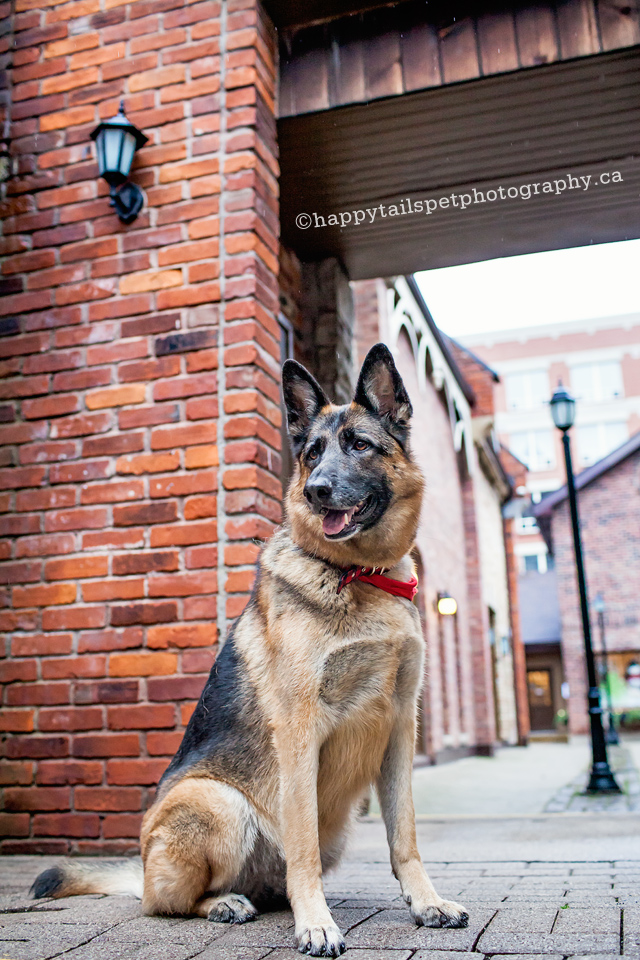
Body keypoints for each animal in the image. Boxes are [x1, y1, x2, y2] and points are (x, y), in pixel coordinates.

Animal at [31, 344, 470, 952]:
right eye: (312, 454)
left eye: (359, 445)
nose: (316, 491)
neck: (359, 576)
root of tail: (141, 865)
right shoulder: (301, 731)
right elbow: (302, 843)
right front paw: (317, 923)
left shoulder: (401, 730)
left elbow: (404, 836)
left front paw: (426, 903)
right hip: (219, 803)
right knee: (164, 902)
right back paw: (225, 903)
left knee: (261, 885)